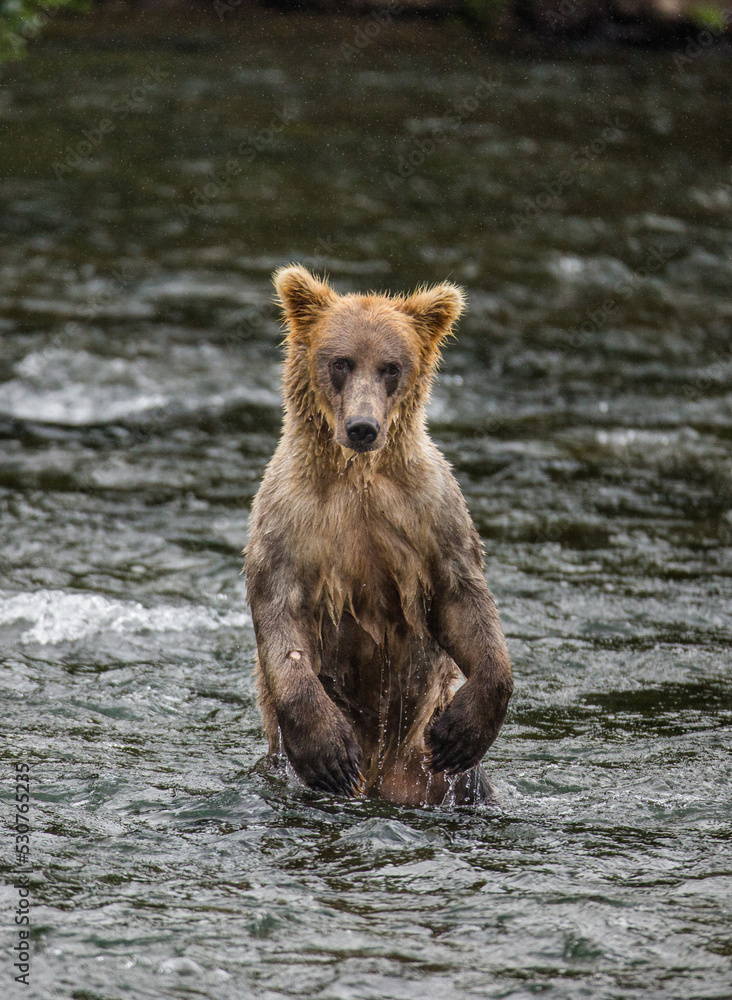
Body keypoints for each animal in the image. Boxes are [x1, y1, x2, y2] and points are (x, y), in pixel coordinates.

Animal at [245, 265, 513, 806]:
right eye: (340, 362)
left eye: (391, 366)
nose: (363, 427)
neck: (359, 477)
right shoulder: (291, 520)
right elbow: (281, 615)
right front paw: (328, 751)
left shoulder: (428, 510)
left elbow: (464, 599)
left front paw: (462, 731)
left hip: (431, 773)